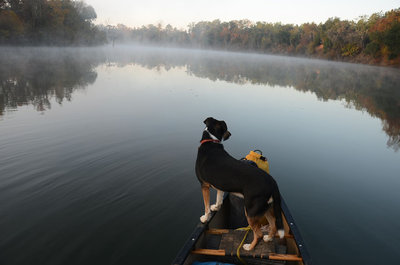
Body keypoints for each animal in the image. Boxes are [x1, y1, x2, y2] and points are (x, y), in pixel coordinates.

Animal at [196, 117, 284, 250]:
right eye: (226, 128)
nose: (230, 134)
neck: (211, 141)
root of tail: (272, 182)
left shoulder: (204, 185)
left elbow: (206, 207)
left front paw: (205, 218)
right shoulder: (220, 185)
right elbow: (219, 199)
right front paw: (216, 207)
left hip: (251, 211)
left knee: (258, 233)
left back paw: (249, 247)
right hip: (266, 207)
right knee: (273, 225)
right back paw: (268, 238)